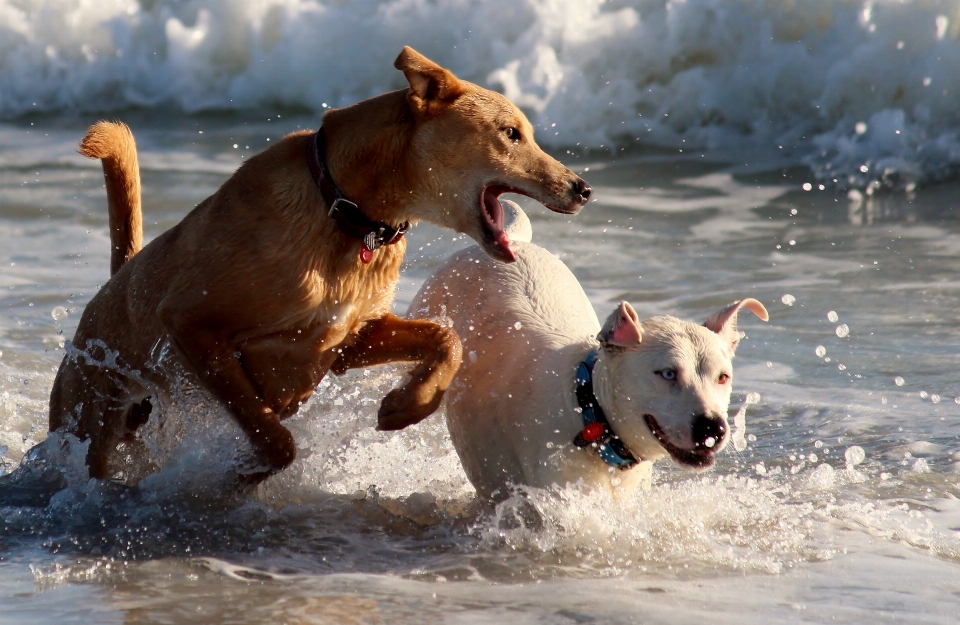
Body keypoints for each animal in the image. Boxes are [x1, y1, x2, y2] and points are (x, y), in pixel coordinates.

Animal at [52, 46, 596, 480]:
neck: (347, 213)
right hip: (85, 414)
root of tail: (115, 283)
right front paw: (247, 467)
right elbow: (272, 433)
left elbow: (448, 339)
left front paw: (407, 405)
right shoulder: (192, 323)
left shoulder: (349, 340)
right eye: (511, 133)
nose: (584, 188)